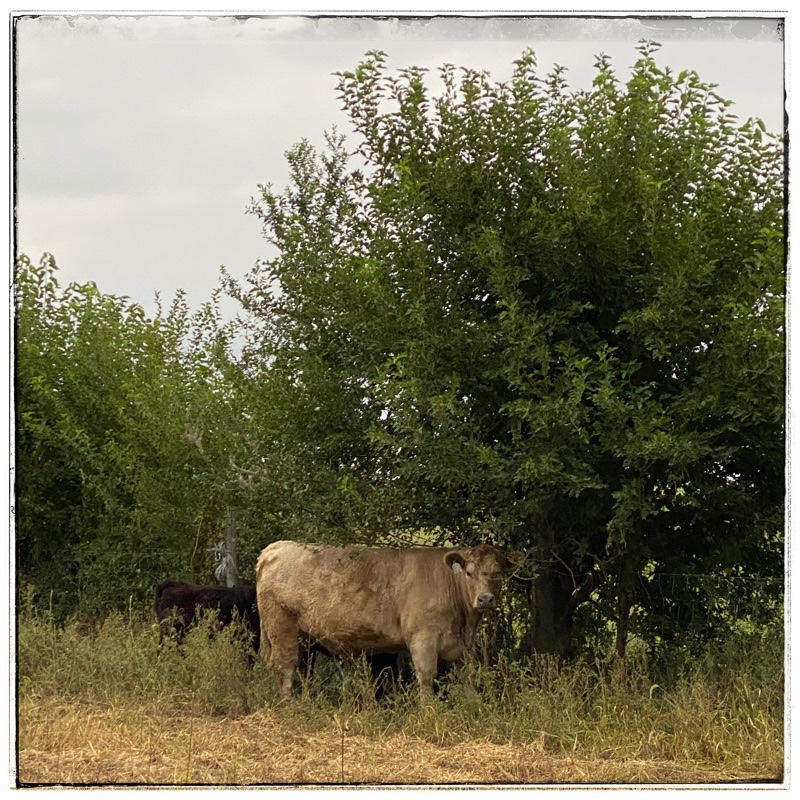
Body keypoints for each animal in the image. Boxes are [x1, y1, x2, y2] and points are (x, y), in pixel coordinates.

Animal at [255, 541, 510, 701]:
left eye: (498, 574)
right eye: (469, 573)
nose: (485, 599)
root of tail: (277, 547)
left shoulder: (462, 648)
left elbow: (468, 679)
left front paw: (474, 707)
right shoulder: (423, 639)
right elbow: (426, 677)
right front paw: (429, 713)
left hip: (303, 638)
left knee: (300, 668)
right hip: (282, 626)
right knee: (285, 666)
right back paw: (289, 705)